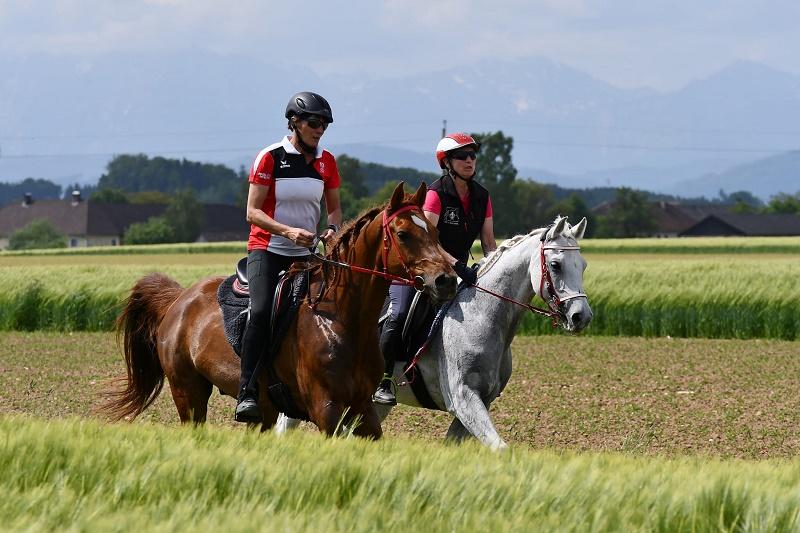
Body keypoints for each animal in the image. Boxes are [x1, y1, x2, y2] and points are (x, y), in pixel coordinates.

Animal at [101, 183, 456, 436]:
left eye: (436, 232)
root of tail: (178, 298)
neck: (342, 318)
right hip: (188, 391)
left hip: (264, 409)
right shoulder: (326, 408)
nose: (446, 280)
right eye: (403, 234)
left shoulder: (362, 408)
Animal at [276, 214, 592, 446]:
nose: (581, 316)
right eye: (556, 265)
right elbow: (500, 447)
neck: (484, 315)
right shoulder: (464, 399)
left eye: (583, 265)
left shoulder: (477, 405)